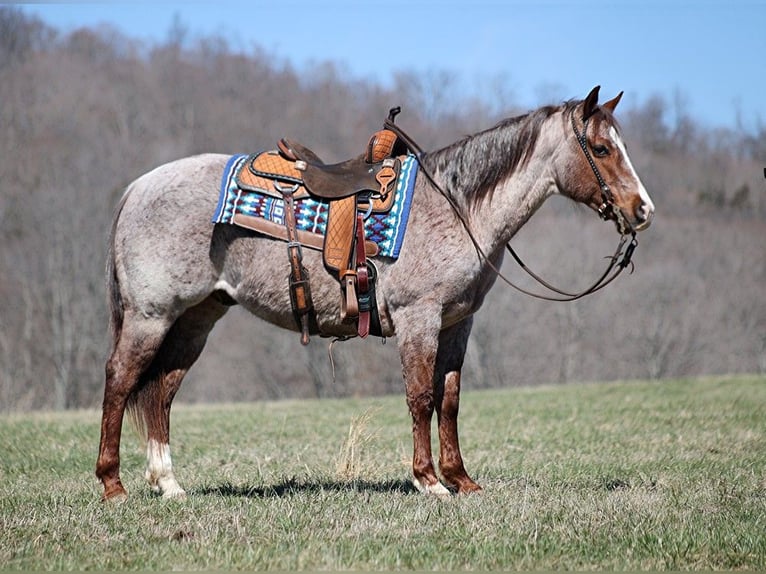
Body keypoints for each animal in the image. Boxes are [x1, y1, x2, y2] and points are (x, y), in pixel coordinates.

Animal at [97, 86, 656, 504]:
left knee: (162, 390)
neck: (457, 206)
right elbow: (421, 396)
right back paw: (112, 484)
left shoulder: (457, 322)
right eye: (601, 149)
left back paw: (169, 484)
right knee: (121, 381)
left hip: (195, 319)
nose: (643, 209)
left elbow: (450, 399)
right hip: (150, 316)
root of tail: (136, 188)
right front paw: (429, 481)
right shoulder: (418, 318)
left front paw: (462, 479)